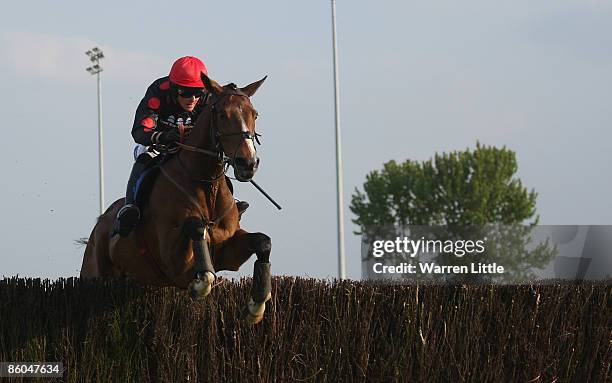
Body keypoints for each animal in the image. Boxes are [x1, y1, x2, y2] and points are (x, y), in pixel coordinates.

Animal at [80, 73, 272, 326]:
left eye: (254, 114)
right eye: (222, 114)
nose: (247, 163)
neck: (206, 186)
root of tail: (98, 228)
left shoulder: (227, 251)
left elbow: (263, 241)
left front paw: (257, 305)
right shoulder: (174, 265)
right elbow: (196, 228)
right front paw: (201, 285)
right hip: (93, 272)